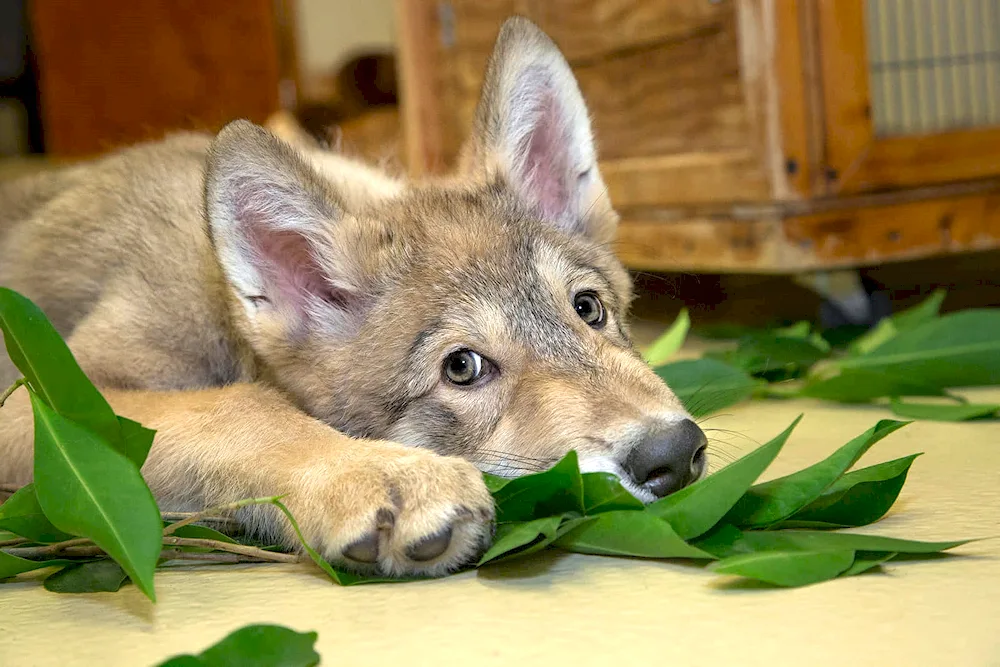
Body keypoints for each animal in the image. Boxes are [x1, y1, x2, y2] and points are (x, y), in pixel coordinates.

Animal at [0, 19, 708, 576]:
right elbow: (239, 407)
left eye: (588, 308)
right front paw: (376, 474)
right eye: (462, 367)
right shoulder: (43, 396)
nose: (675, 454)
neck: (217, 290)